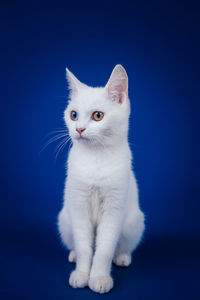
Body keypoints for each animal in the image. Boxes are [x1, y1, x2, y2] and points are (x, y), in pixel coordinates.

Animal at [57, 63, 145, 292]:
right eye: (73, 114)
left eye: (98, 116)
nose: (79, 129)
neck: (96, 158)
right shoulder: (78, 206)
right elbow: (84, 247)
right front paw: (81, 274)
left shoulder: (114, 208)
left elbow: (104, 249)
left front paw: (99, 278)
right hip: (65, 219)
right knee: (75, 243)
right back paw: (73, 255)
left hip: (134, 222)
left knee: (122, 246)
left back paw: (122, 257)